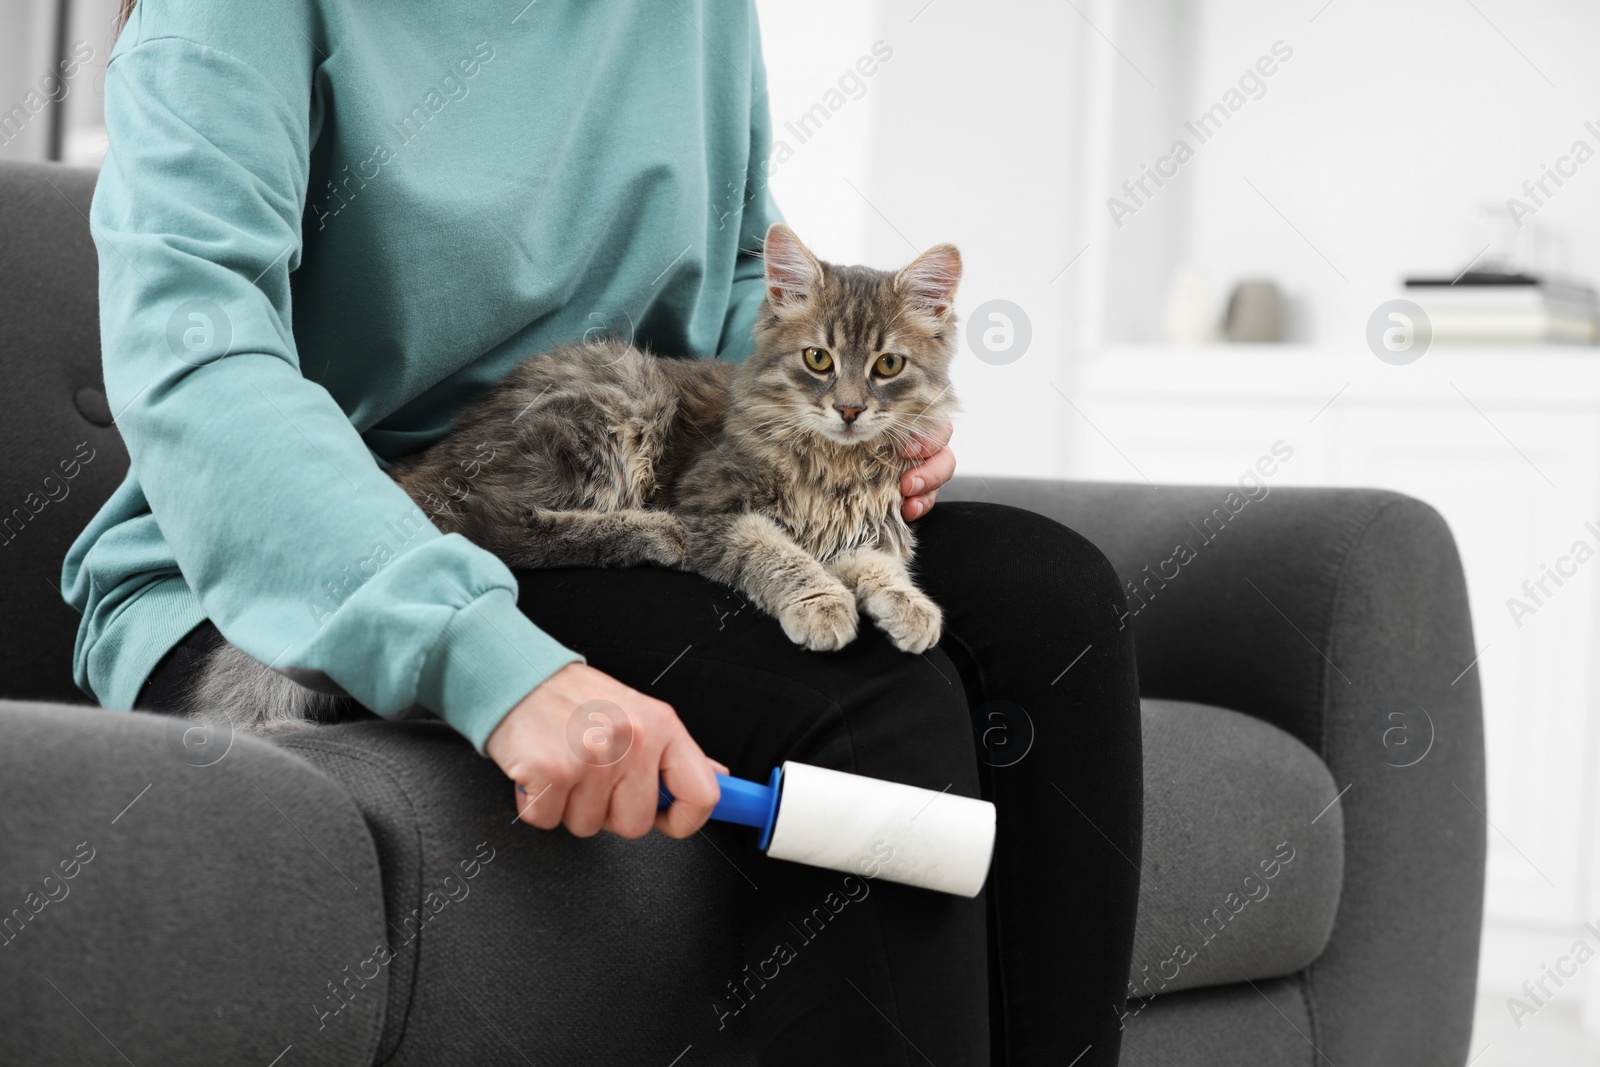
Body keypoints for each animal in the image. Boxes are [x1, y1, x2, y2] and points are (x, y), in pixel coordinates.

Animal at [187, 223, 960, 735]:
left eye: (888, 366)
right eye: (818, 360)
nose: (850, 409)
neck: (835, 467)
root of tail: (437, 455)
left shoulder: (871, 530)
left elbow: (881, 567)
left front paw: (911, 609)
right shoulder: (716, 507)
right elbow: (779, 554)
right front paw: (821, 603)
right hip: (618, 405)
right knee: (500, 530)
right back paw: (648, 532)